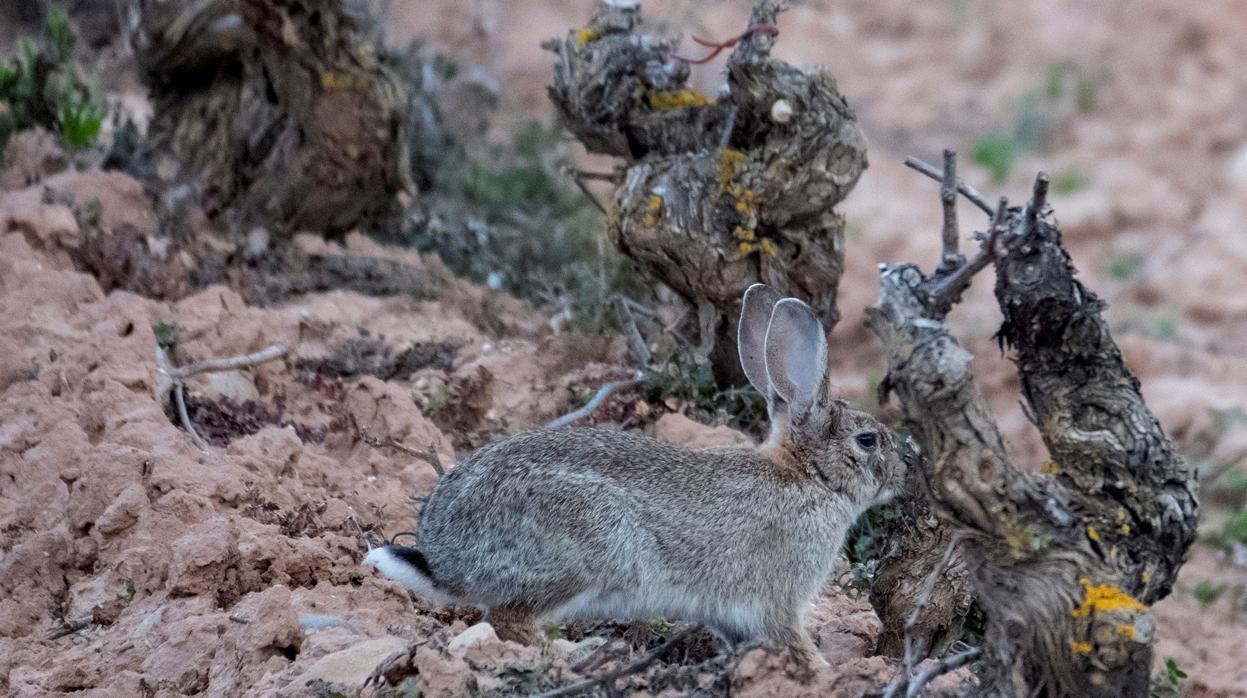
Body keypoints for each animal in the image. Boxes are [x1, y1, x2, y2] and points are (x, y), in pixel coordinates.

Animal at [364, 284, 902, 673]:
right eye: (868, 441)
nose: (903, 471)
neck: (810, 477)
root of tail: (445, 557)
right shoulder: (778, 600)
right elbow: (794, 641)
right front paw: (826, 672)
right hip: (583, 552)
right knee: (508, 620)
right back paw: (578, 655)